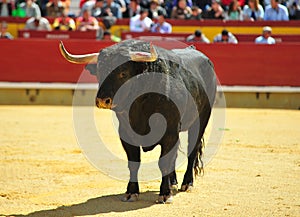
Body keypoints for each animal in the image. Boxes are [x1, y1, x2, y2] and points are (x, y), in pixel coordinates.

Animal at [59, 39, 217, 203]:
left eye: (123, 73)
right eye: (99, 71)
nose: (103, 100)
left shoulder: (170, 132)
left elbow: (164, 162)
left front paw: (165, 194)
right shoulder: (126, 133)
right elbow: (134, 163)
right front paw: (131, 192)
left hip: (201, 120)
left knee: (192, 151)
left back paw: (187, 183)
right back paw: (173, 183)